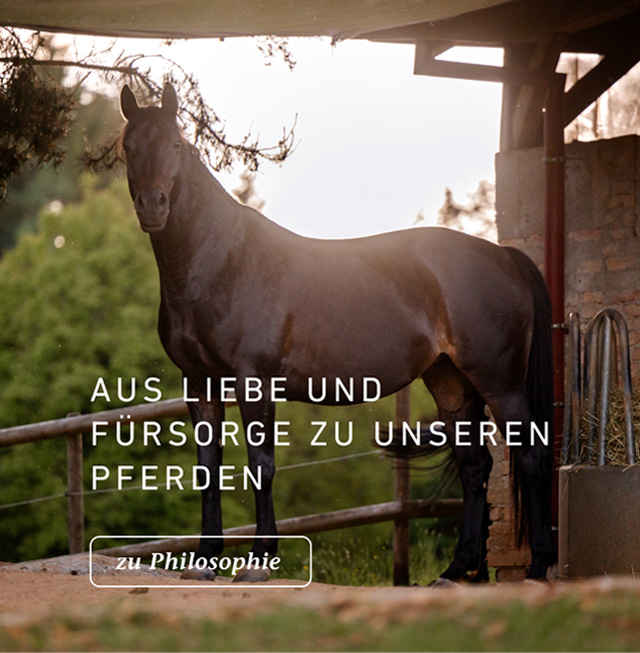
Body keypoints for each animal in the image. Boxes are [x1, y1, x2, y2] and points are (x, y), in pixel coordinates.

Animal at [119, 82, 555, 583]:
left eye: (175, 145)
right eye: (128, 147)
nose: (152, 207)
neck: (218, 262)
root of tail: (504, 256)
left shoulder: (253, 383)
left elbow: (261, 466)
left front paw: (259, 561)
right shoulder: (201, 384)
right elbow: (208, 469)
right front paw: (206, 560)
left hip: (501, 384)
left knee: (532, 456)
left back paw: (538, 566)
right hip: (451, 384)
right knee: (474, 467)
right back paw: (456, 570)